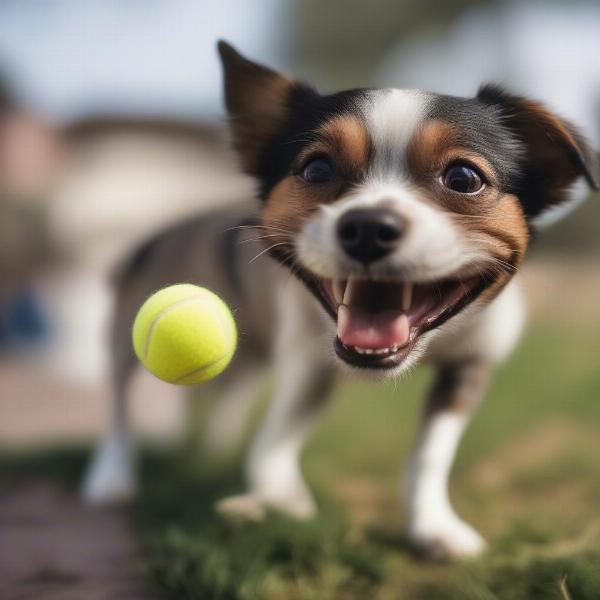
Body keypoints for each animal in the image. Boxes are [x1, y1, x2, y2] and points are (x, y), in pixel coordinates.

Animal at [82, 41, 596, 556]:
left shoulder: (468, 368)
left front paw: (432, 526)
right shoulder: (308, 368)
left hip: (248, 353)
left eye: (464, 178)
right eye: (317, 169)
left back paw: (213, 448)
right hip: (126, 338)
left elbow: (430, 454)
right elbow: (273, 443)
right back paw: (112, 477)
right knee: (119, 408)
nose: (367, 226)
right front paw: (277, 502)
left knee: (231, 393)